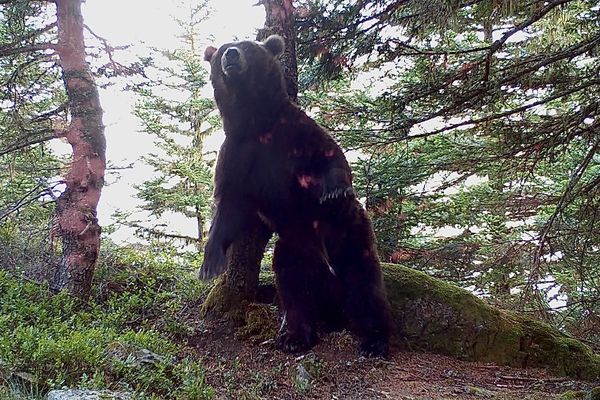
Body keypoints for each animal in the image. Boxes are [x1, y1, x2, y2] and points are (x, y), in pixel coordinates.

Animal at [199, 36, 392, 358]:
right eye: (224, 48)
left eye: (248, 45)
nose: (231, 55)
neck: (257, 122)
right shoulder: (238, 154)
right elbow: (228, 206)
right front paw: (210, 263)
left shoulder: (296, 135)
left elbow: (331, 157)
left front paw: (335, 189)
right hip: (294, 244)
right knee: (295, 285)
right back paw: (295, 335)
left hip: (348, 230)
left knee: (362, 280)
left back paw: (374, 340)